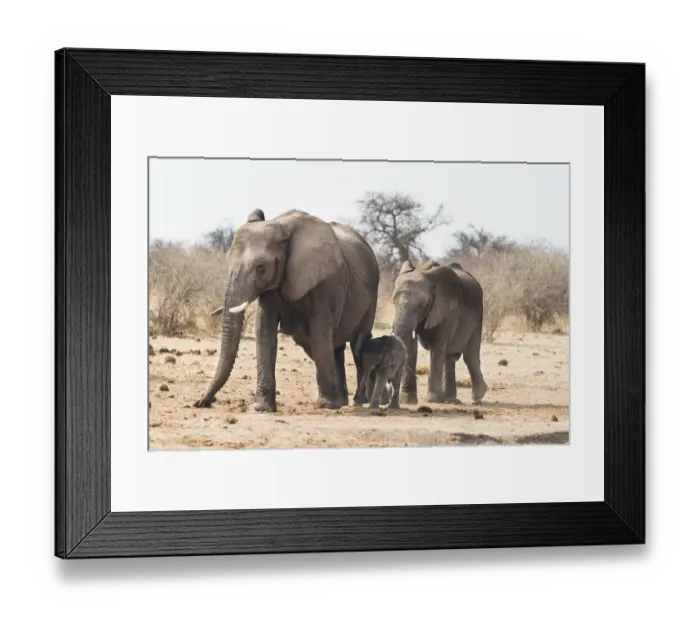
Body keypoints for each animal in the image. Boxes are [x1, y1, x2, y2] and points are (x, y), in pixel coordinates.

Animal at [194, 209, 380, 412]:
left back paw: (358, 401)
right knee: (332, 347)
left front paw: (325, 405)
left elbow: (319, 333)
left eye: (260, 266)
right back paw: (342, 401)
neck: (282, 227)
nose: (201, 402)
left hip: (372, 294)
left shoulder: (324, 282)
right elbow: (264, 331)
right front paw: (261, 408)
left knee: (358, 343)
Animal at [391, 259, 488, 405]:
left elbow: (438, 345)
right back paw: (450, 400)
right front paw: (407, 401)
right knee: (449, 357)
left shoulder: (448, 309)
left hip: (479, 313)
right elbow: (411, 345)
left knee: (469, 356)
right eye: (394, 303)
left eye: (421, 305)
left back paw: (477, 397)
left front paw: (432, 400)